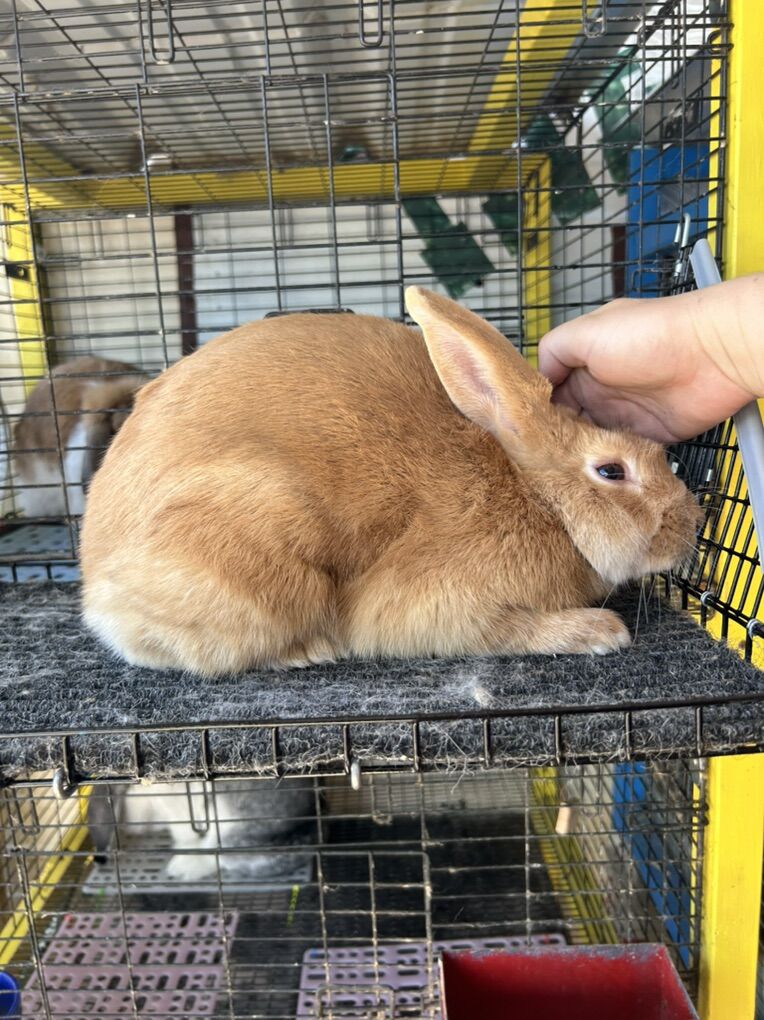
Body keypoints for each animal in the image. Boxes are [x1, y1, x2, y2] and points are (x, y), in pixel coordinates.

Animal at [80, 287, 700, 676]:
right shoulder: (447, 606)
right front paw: (600, 631)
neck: (539, 498)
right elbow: (507, 632)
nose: (692, 525)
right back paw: (309, 651)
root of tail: (96, 582)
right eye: (612, 470)